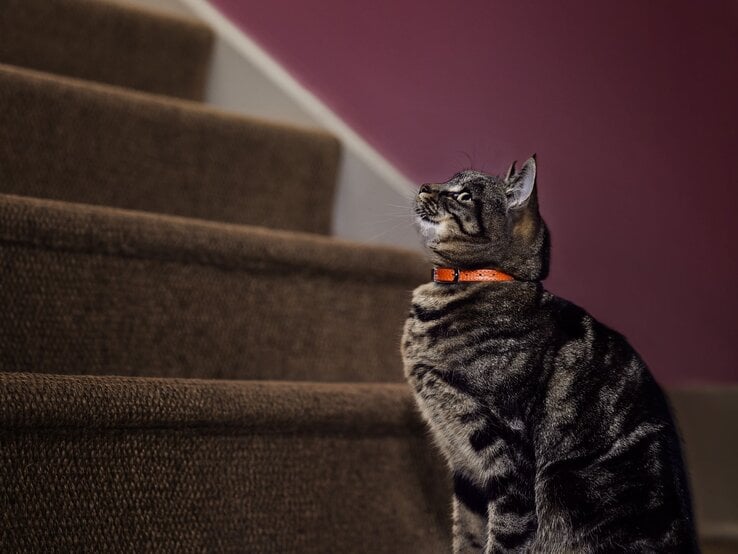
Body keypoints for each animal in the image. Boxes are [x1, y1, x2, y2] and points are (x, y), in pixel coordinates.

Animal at [402, 156, 696, 552]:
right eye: (449, 179)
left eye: (463, 196)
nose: (424, 187)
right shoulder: (467, 474)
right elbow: (467, 537)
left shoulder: (507, 460)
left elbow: (505, 538)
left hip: (560, 487)